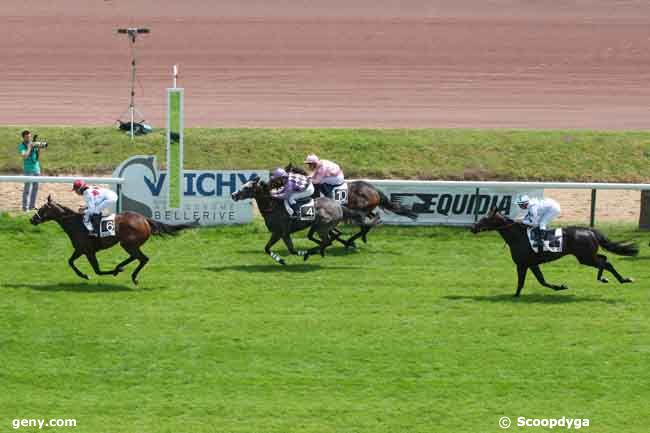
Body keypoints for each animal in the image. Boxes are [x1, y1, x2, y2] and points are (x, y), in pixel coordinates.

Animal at [30, 195, 192, 284]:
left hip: (128, 244)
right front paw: (84, 275)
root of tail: (145, 220)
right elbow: (70, 262)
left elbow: (97, 270)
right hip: (130, 244)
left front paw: (89, 275)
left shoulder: (88, 251)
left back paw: (129, 274)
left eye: (42, 209)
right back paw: (120, 268)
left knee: (142, 258)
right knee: (139, 258)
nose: (32, 220)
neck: (76, 223)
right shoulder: (80, 250)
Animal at [468, 207, 636, 296]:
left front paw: (515, 295)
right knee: (605, 259)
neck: (518, 237)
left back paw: (608, 278)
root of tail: (590, 230)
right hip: (588, 255)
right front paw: (560, 287)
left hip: (585, 257)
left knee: (604, 263)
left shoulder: (522, 264)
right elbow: (541, 280)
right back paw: (619, 279)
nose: (472, 227)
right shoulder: (531, 264)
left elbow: (522, 281)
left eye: (484, 218)